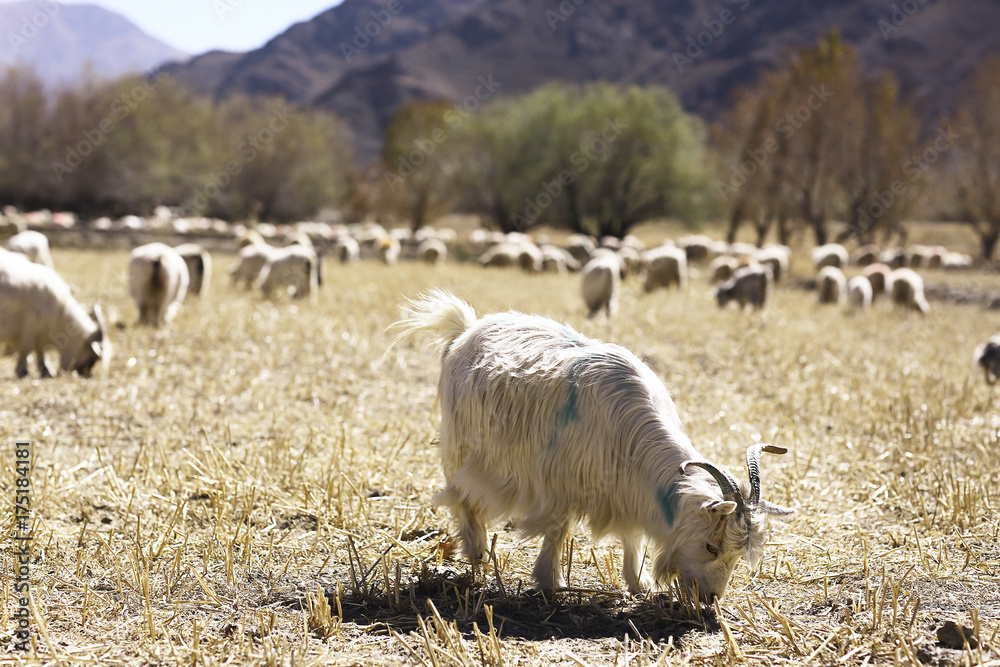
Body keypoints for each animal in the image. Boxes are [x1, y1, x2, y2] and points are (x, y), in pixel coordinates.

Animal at [389, 290, 793, 600]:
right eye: (711, 546)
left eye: (740, 554)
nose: (710, 599)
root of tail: (467, 327)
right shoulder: (560, 483)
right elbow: (557, 530)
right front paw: (551, 582)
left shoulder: (627, 490)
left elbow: (633, 537)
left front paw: (639, 584)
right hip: (462, 449)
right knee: (463, 500)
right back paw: (476, 556)